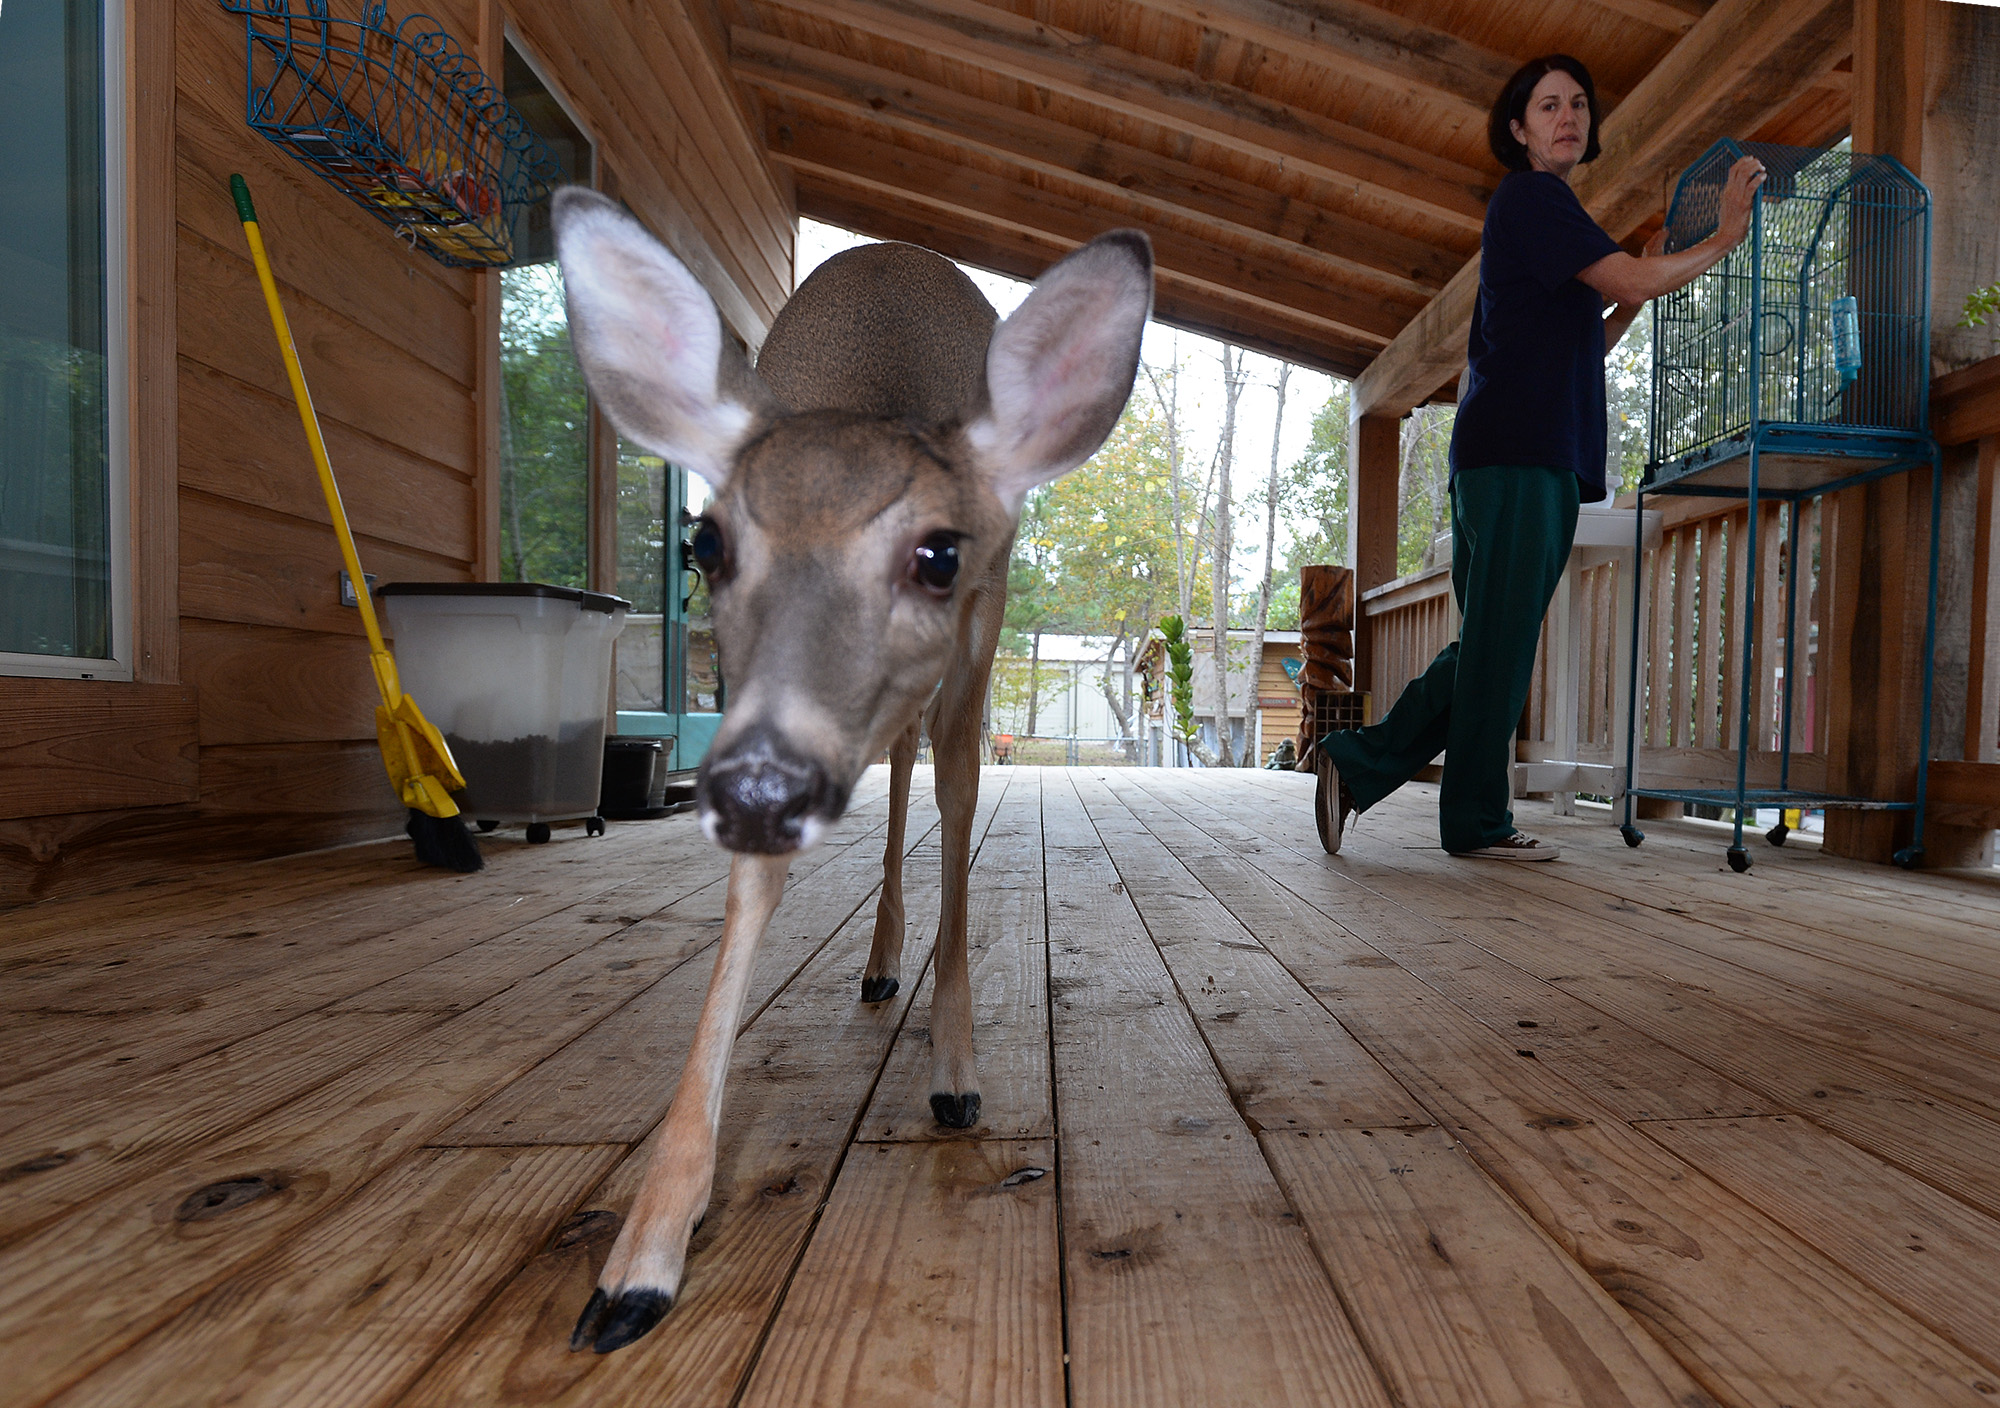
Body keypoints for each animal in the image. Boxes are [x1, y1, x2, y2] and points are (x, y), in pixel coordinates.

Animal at [552, 187, 1160, 1352]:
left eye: (938, 553)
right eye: (705, 543)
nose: (760, 789)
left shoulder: (972, 637)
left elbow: (963, 822)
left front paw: (956, 1073)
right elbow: (747, 908)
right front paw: (640, 1261)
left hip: (978, 650)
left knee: (940, 777)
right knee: (899, 770)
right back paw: (879, 961)